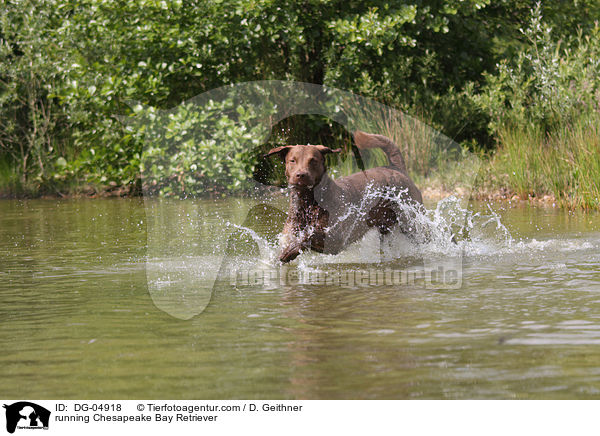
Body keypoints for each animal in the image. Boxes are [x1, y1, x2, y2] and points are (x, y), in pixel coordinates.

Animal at [268, 129, 422, 262]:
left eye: (313, 160)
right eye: (292, 160)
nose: (301, 175)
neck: (308, 203)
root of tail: (396, 168)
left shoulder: (336, 239)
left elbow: (309, 237)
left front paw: (289, 252)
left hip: (411, 222)